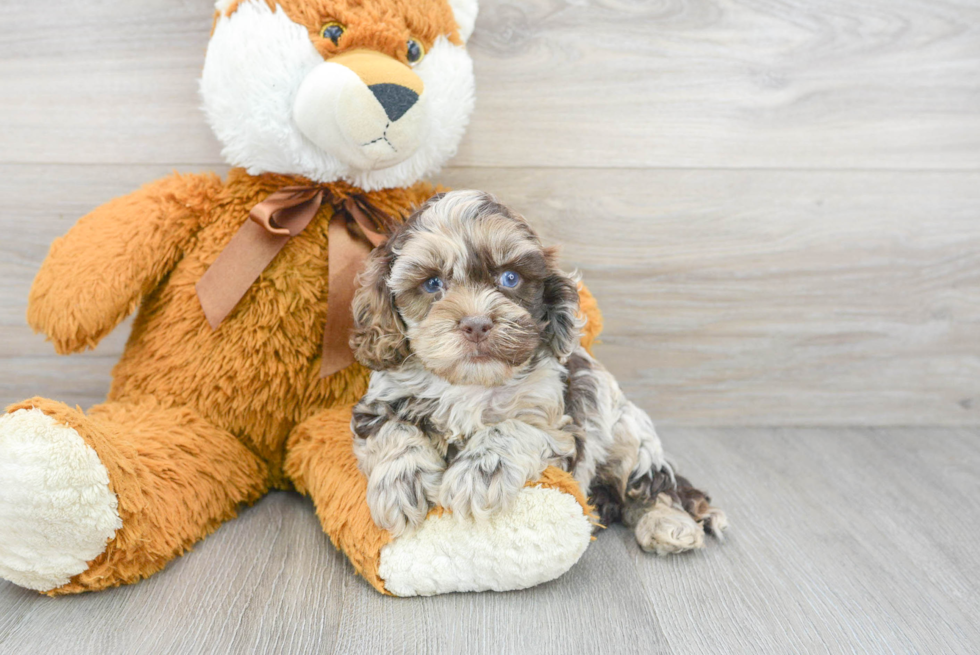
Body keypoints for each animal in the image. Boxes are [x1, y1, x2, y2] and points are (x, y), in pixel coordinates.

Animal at [348, 192, 724, 556]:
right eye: (432, 283)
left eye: (510, 278)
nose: (476, 324)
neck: (473, 382)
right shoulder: (380, 402)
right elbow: (395, 431)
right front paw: (402, 482)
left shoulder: (559, 425)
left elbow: (513, 427)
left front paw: (478, 475)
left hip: (628, 432)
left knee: (653, 485)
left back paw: (668, 525)